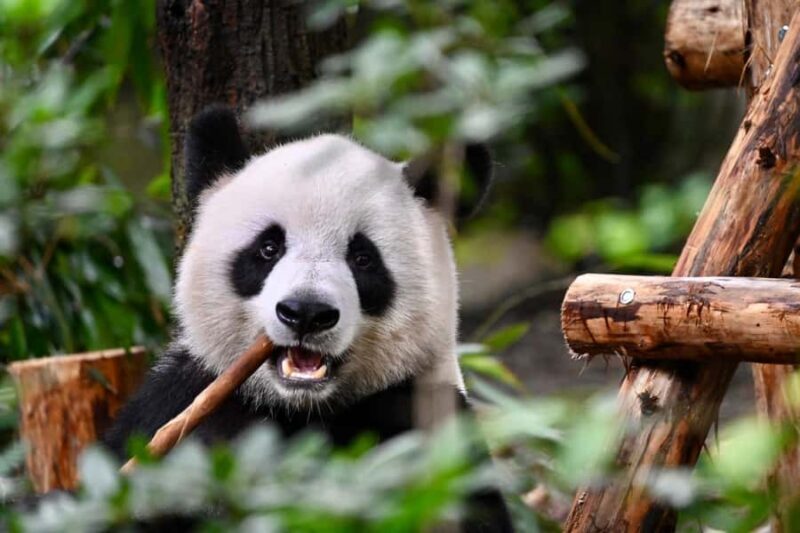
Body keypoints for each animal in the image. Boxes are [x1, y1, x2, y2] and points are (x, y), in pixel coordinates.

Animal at [104, 106, 513, 531]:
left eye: (363, 258)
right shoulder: (176, 402)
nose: (306, 313)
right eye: (268, 248)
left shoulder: (425, 416)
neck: (298, 408)